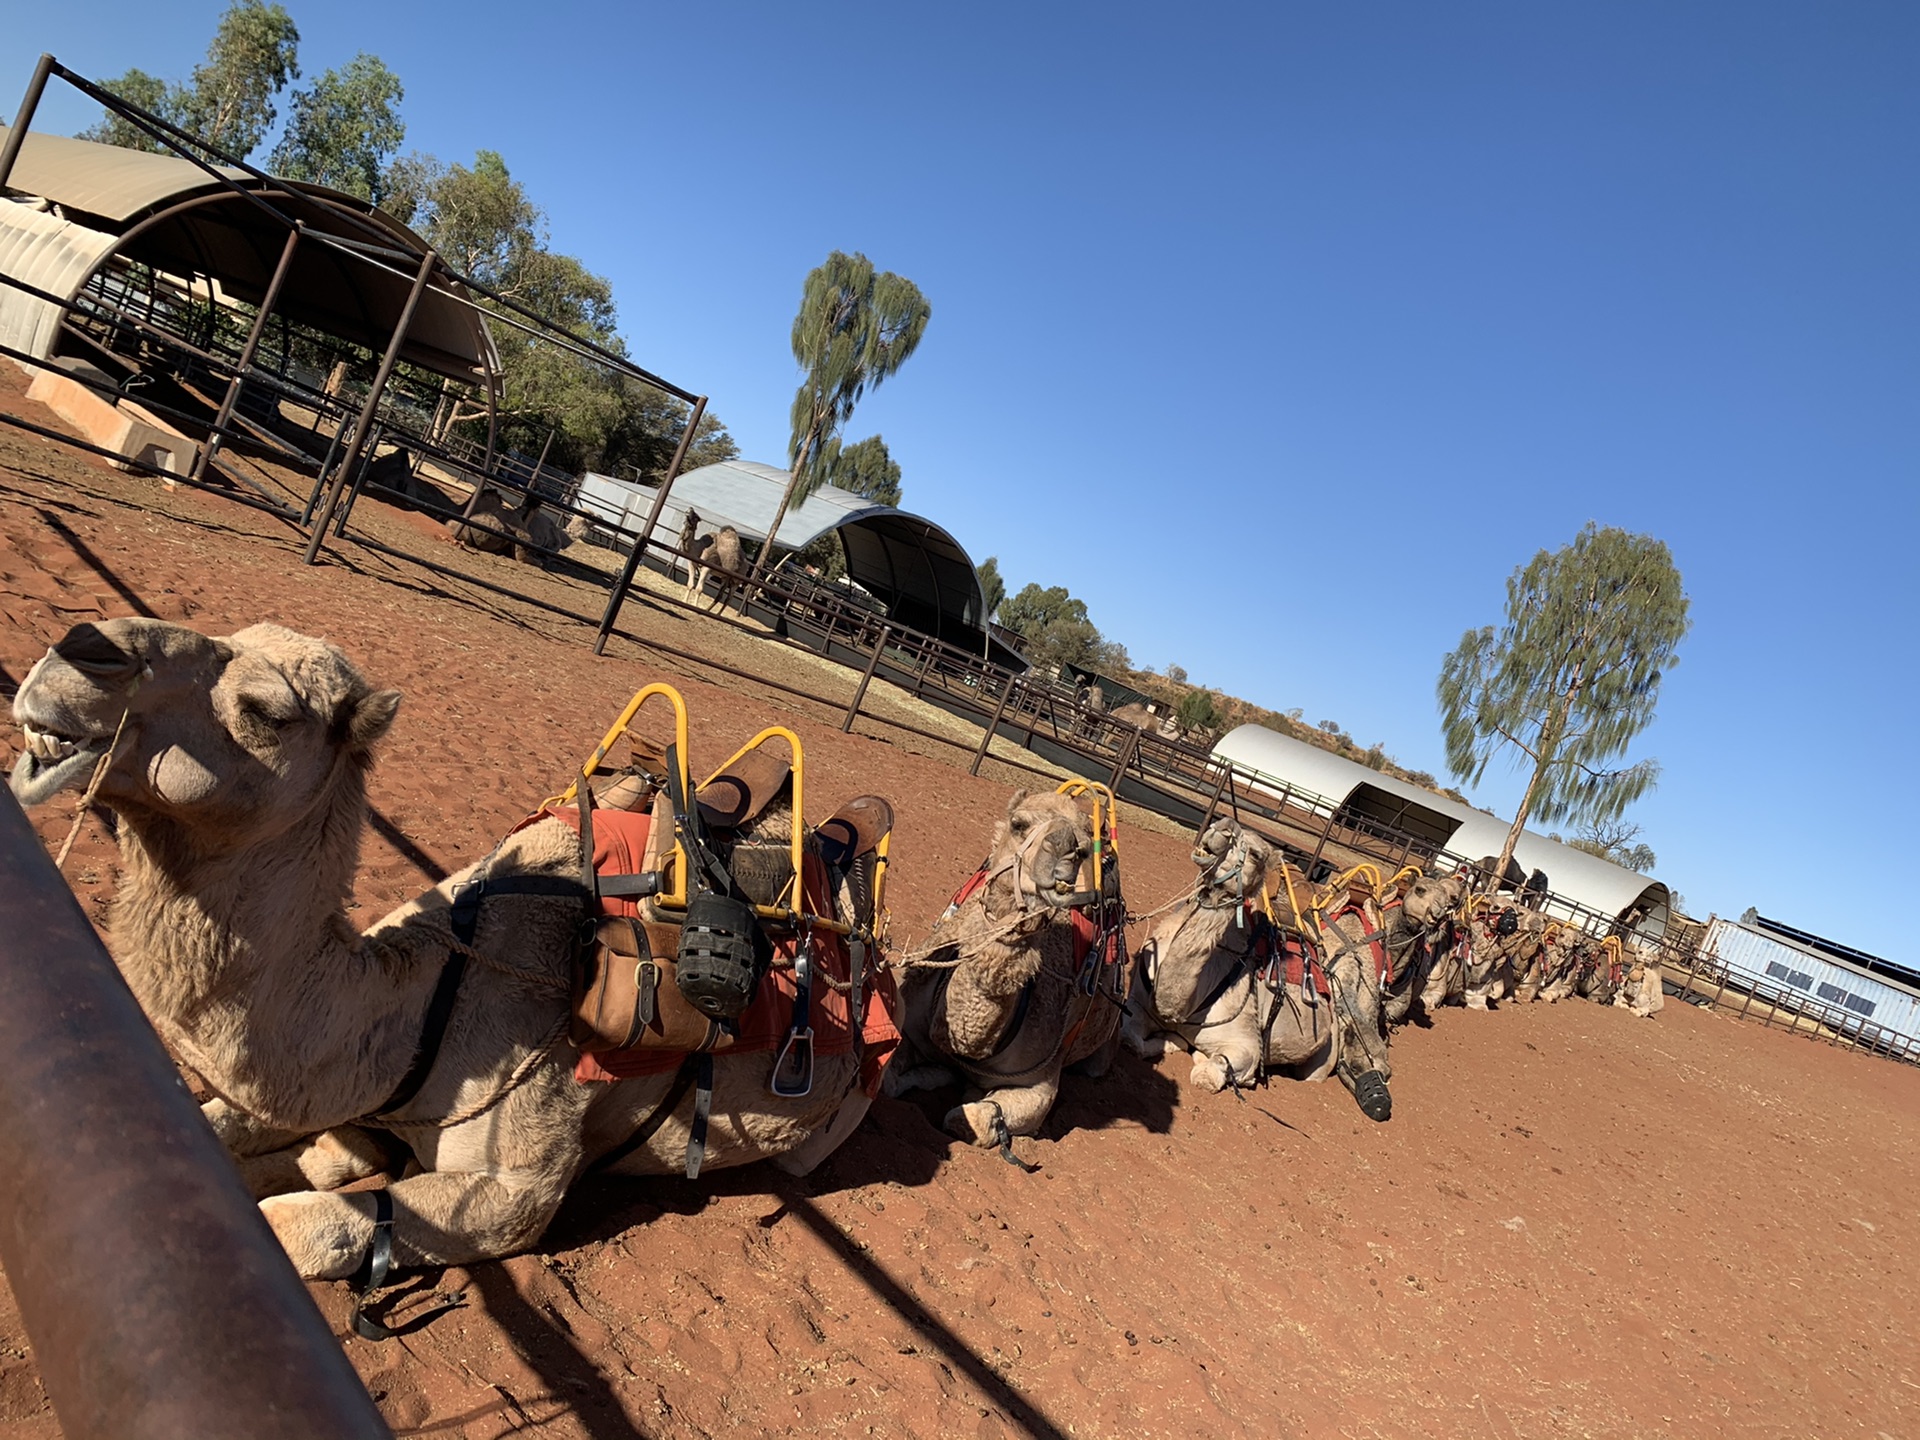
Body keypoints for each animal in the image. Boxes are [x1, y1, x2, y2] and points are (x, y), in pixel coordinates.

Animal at [9, 622, 883, 1282]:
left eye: (266, 711)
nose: (81, 648)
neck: (435, 998)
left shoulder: (518, 1187)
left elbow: (298, 1219)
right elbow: (233, 1129)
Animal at [883, 791, 1121, 1152]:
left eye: (1083, 848)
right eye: (1018, 824)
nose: (1064, 850)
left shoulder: (1039, 1082)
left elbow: (966, 1119)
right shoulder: (910, 1025)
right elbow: (887, 1076)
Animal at [1121, 821, 1397, 1128]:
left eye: (1255, 854)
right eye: (1217, 822)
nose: (1222, 828)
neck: (1184, 1004)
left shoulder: (1246, 1043)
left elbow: (1207, 1075)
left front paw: (1192, 1053)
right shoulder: (1138, 1002)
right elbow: (1130, 1039)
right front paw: (1171, 1041)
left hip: (1328, 1047)